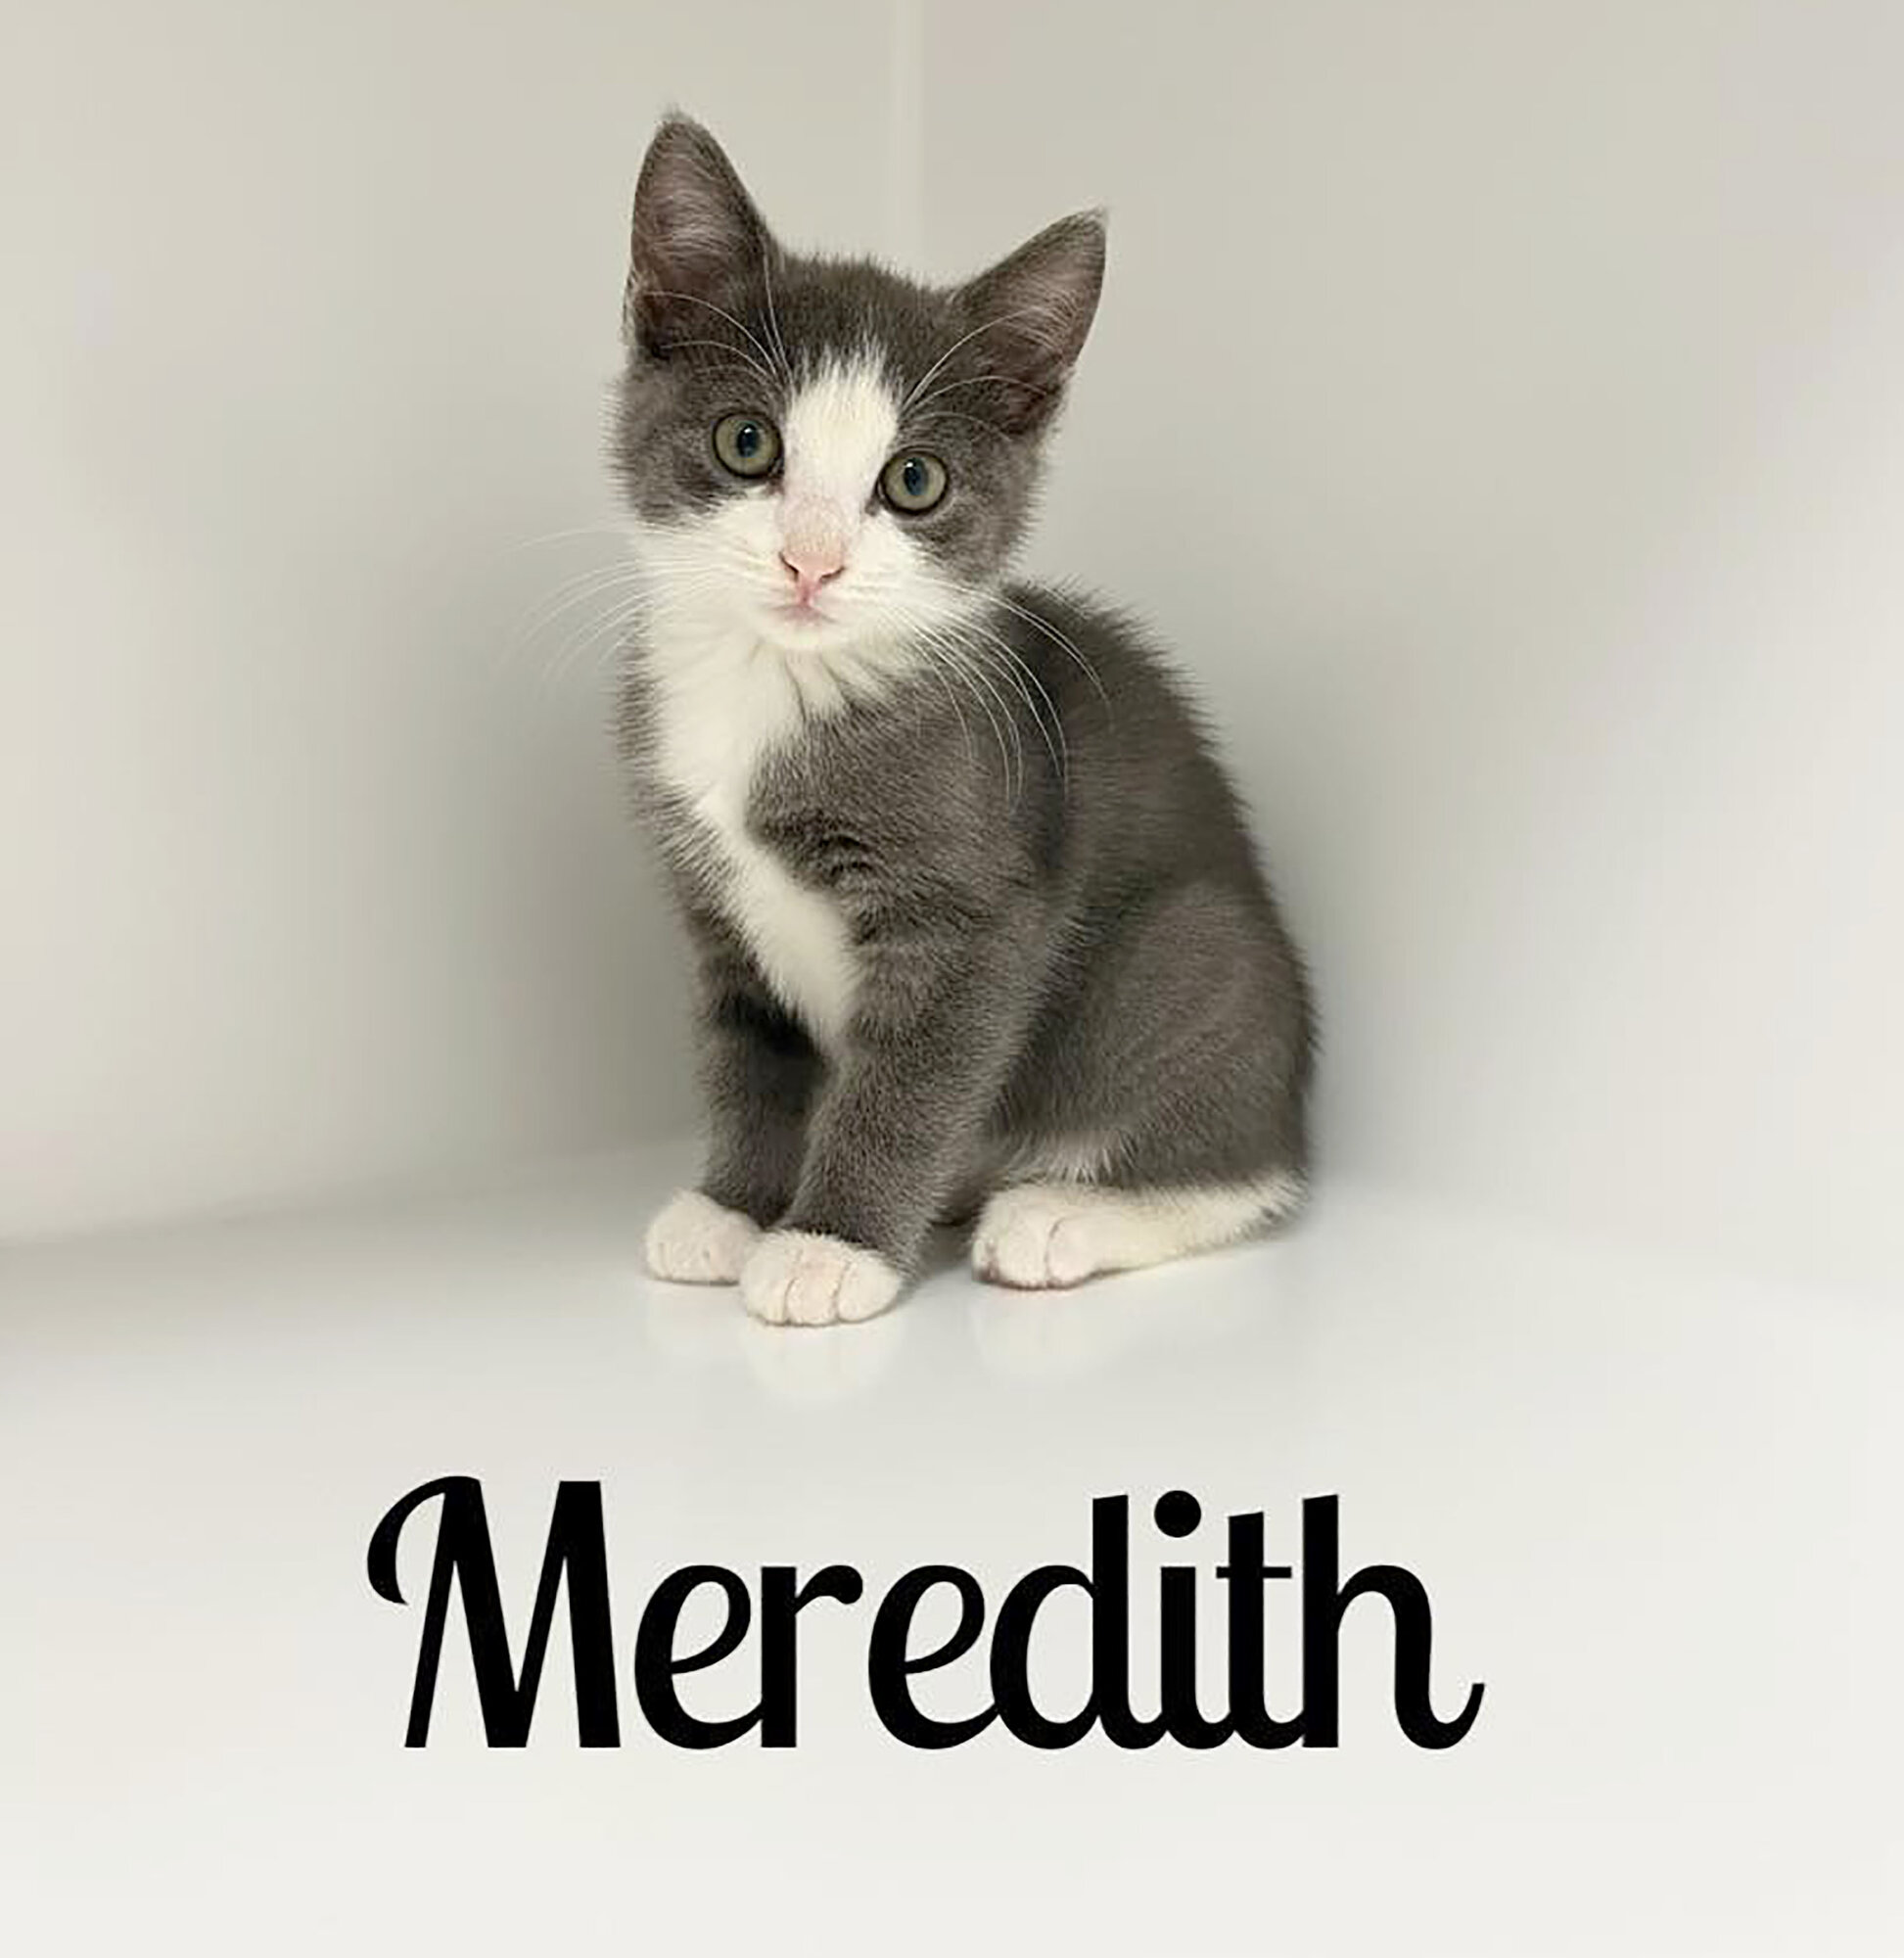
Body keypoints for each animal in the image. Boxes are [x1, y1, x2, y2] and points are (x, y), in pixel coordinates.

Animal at [612, 115, 1315, 1326]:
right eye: (747, 444)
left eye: (914, 481)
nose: (810, 561)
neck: (778, 687)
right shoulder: (714, 909)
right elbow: (747, 1057)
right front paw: (737, 1207)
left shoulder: (978, 909)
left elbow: (907, 1082)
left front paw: (829, 1245)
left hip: (1188, 952)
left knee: (1249, 1172)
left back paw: (1060, 1214)